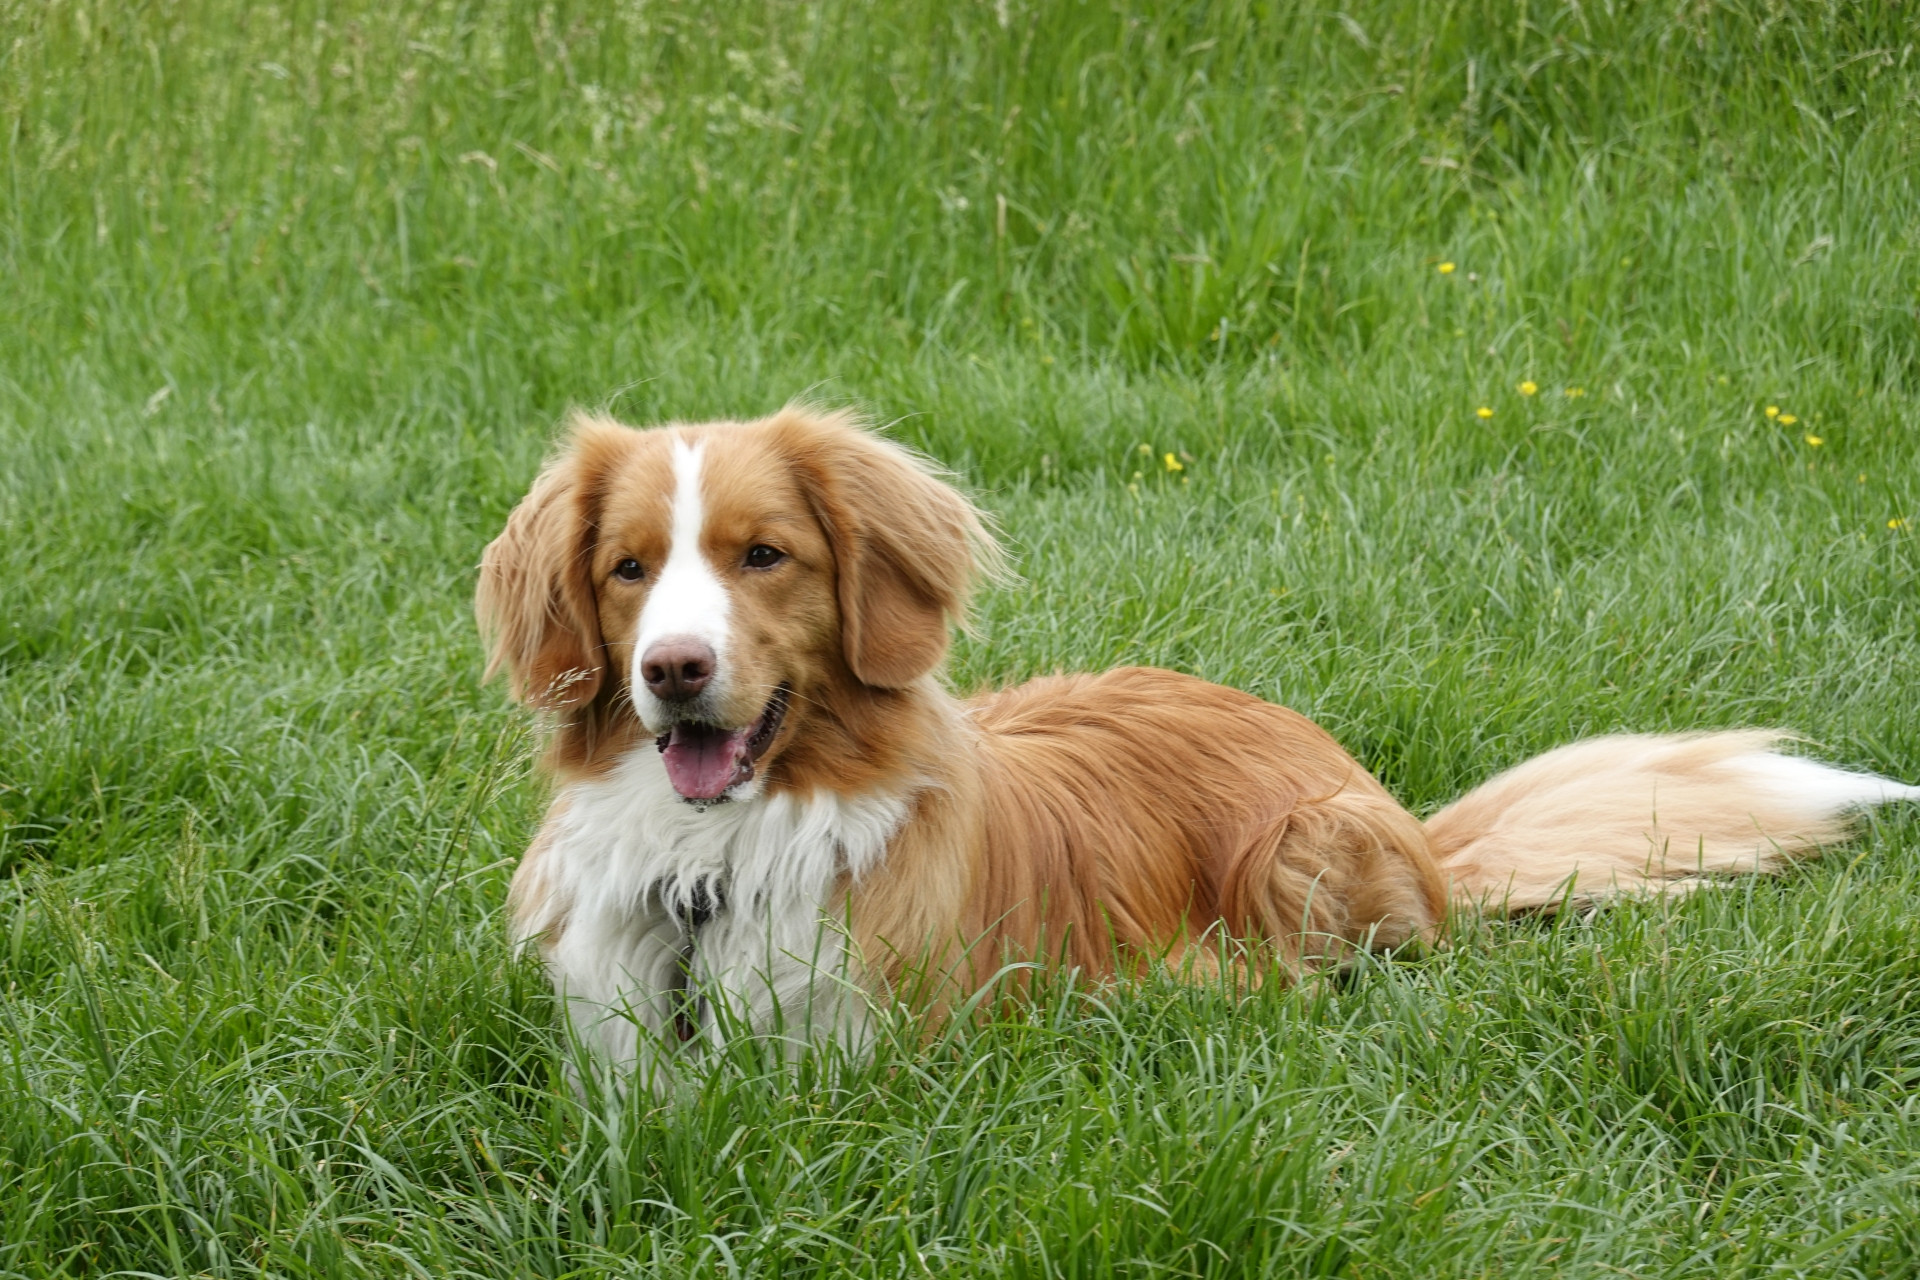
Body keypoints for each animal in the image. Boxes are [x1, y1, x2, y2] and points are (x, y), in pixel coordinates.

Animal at [476, 402, 1920, 1082]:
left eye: (763, 555)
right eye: (626, 568)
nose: (673, 671)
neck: (714, 868)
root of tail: (1413, 821)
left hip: (1309, 847)